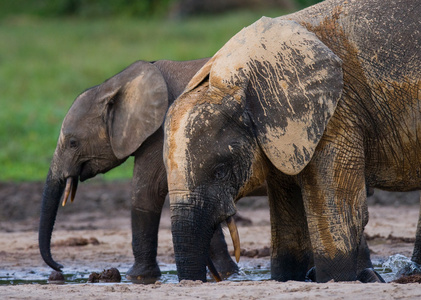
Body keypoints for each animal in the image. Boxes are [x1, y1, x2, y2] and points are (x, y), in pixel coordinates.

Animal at [38, 57, 240, 282]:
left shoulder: (162, 133)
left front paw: (137, 277)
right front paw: (226, 274)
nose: (60, 266)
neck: (119, 83)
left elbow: (146, 193)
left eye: (73, 143)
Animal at [163, 0, 420, 282]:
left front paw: (336, 278)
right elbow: (288, 216)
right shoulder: (281, 137)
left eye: (220, 171)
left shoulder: (337, 113)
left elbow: (338, 213)